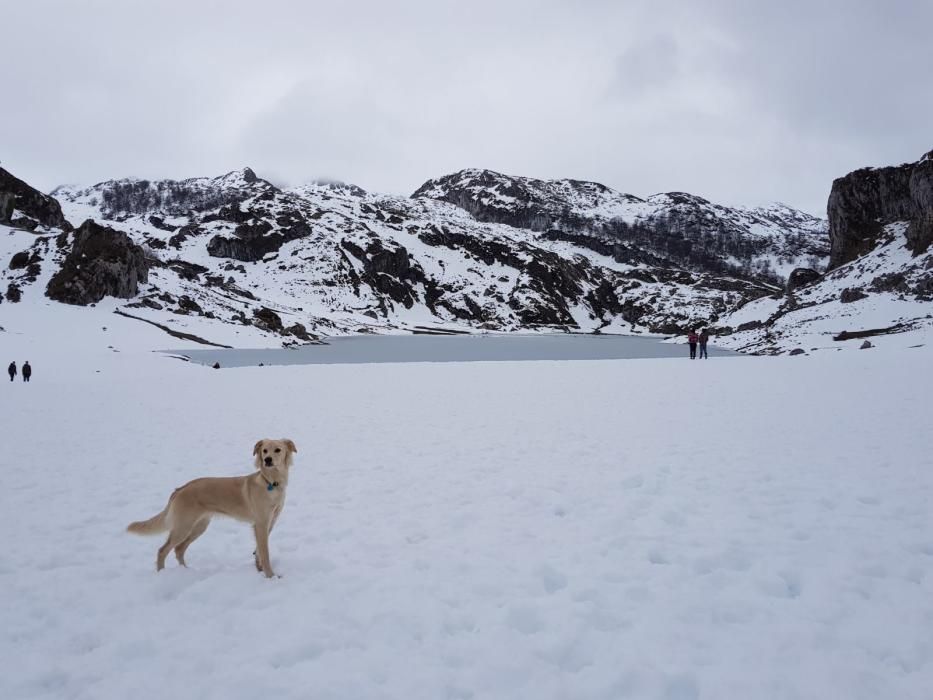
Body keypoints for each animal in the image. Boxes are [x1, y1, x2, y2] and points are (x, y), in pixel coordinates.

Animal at [128, 438, 298, 580]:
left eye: (277, 450)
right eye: (264, 450)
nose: (267, 460)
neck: (271, 483)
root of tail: (179, 489)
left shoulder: (268, 523)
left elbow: (258, 550)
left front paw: (259, 569)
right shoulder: (261, 524)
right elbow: (265, 553)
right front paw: (270, 576)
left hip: (199, 526)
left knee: (179, 549)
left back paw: (185, 572)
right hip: (183, 527)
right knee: (163, 550)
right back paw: (162, 574)